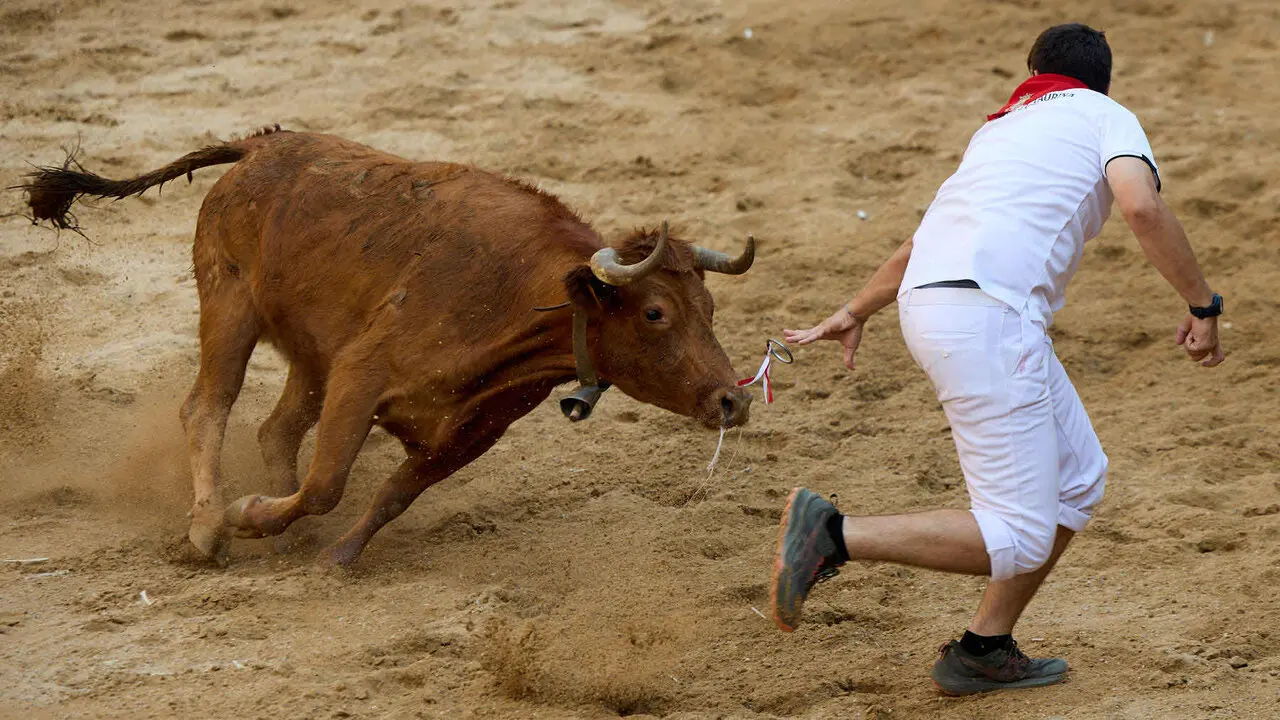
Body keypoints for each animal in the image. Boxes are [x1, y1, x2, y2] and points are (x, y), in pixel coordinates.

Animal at [17, 126, 756, 566]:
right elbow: (327, 482)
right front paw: (247, 514)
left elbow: (392, 494)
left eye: (711, 309)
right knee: (208, 407)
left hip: (311, 352)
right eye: (656, 313)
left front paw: (336, 554)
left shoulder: (470, 428)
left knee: (276, 427)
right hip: (229, 304)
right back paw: (206, 529)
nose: (733, 401)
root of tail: (260, 146)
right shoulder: (361, 374)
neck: (519, 293)